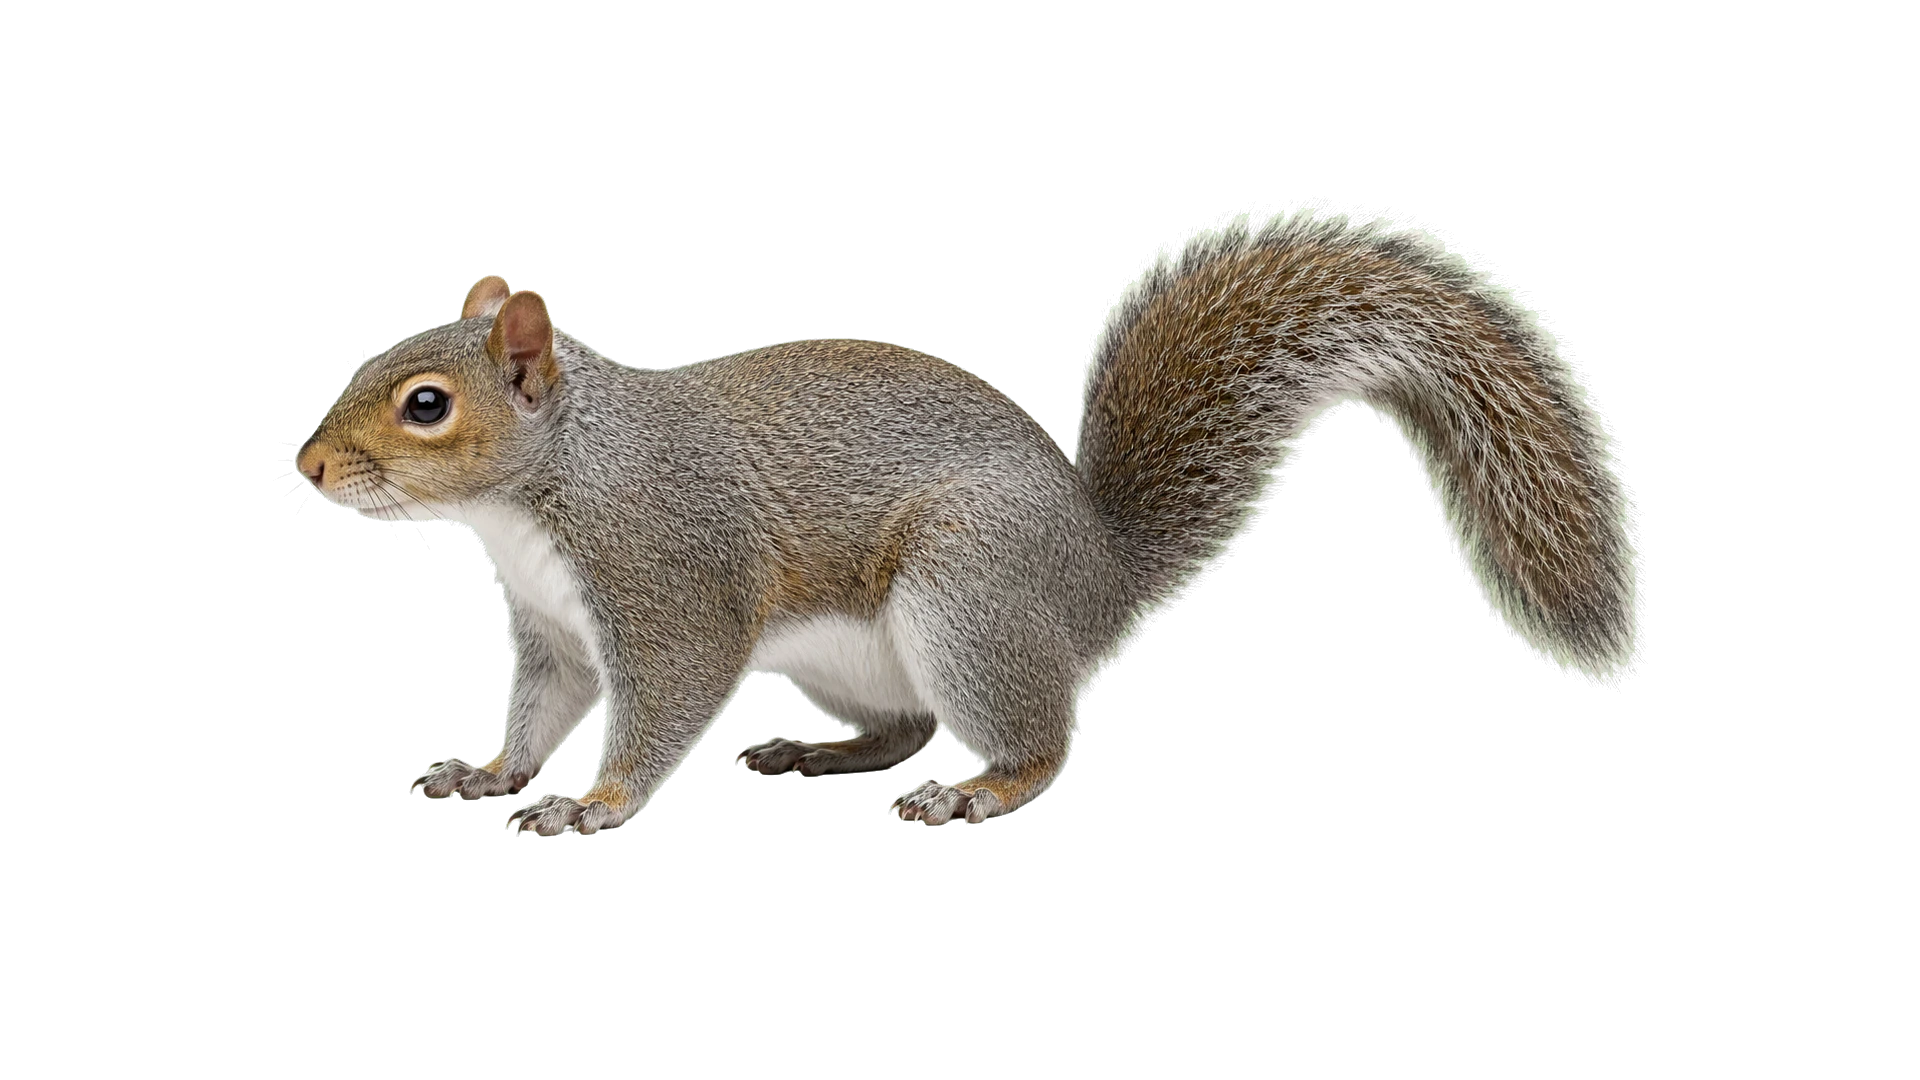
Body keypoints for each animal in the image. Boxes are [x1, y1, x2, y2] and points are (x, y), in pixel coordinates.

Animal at [296, 204, 1641, 835]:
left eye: (426, 405)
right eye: (374, 361)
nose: (308, 468)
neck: (545, 492)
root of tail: (1096, 574)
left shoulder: (667, 582)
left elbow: (662, 703)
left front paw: (596, 801)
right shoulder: (554, 629)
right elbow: (539, 709)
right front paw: (490, 770)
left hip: (966, 597)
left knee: (1041, 745)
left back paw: (978, 791)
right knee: (897, 729)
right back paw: (820, 752)